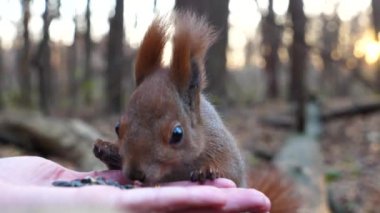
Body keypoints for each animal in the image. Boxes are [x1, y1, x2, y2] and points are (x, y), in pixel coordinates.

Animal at [93, 10, 245, 186]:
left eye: (177, 134)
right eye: (117, 128)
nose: (135, 174)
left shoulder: (223, 148)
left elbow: (232, 173)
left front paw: (207, 171)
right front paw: (105, 148)